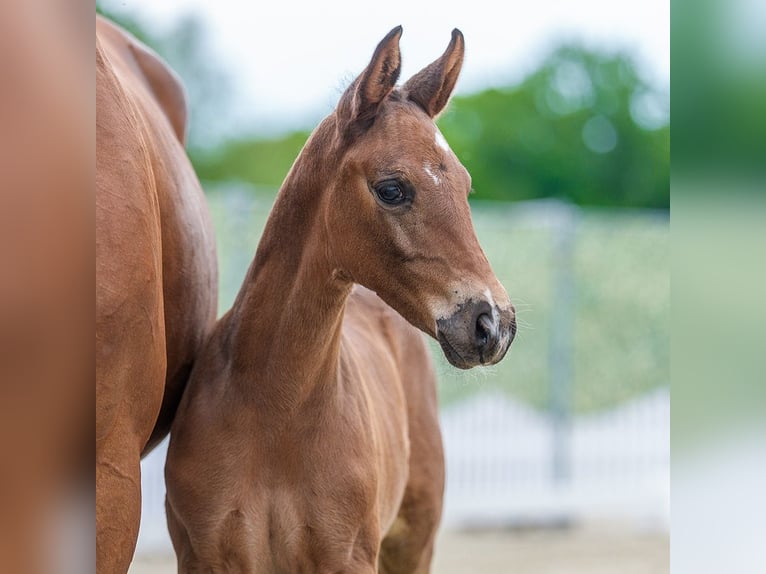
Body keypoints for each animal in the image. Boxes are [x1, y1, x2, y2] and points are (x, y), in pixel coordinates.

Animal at [165, 26, 516, 573]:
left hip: (414, 543)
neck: (273, 411)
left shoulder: (347, 556)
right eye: (392, 188)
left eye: (465, 185)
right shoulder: (206, 557)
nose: (492, 324)